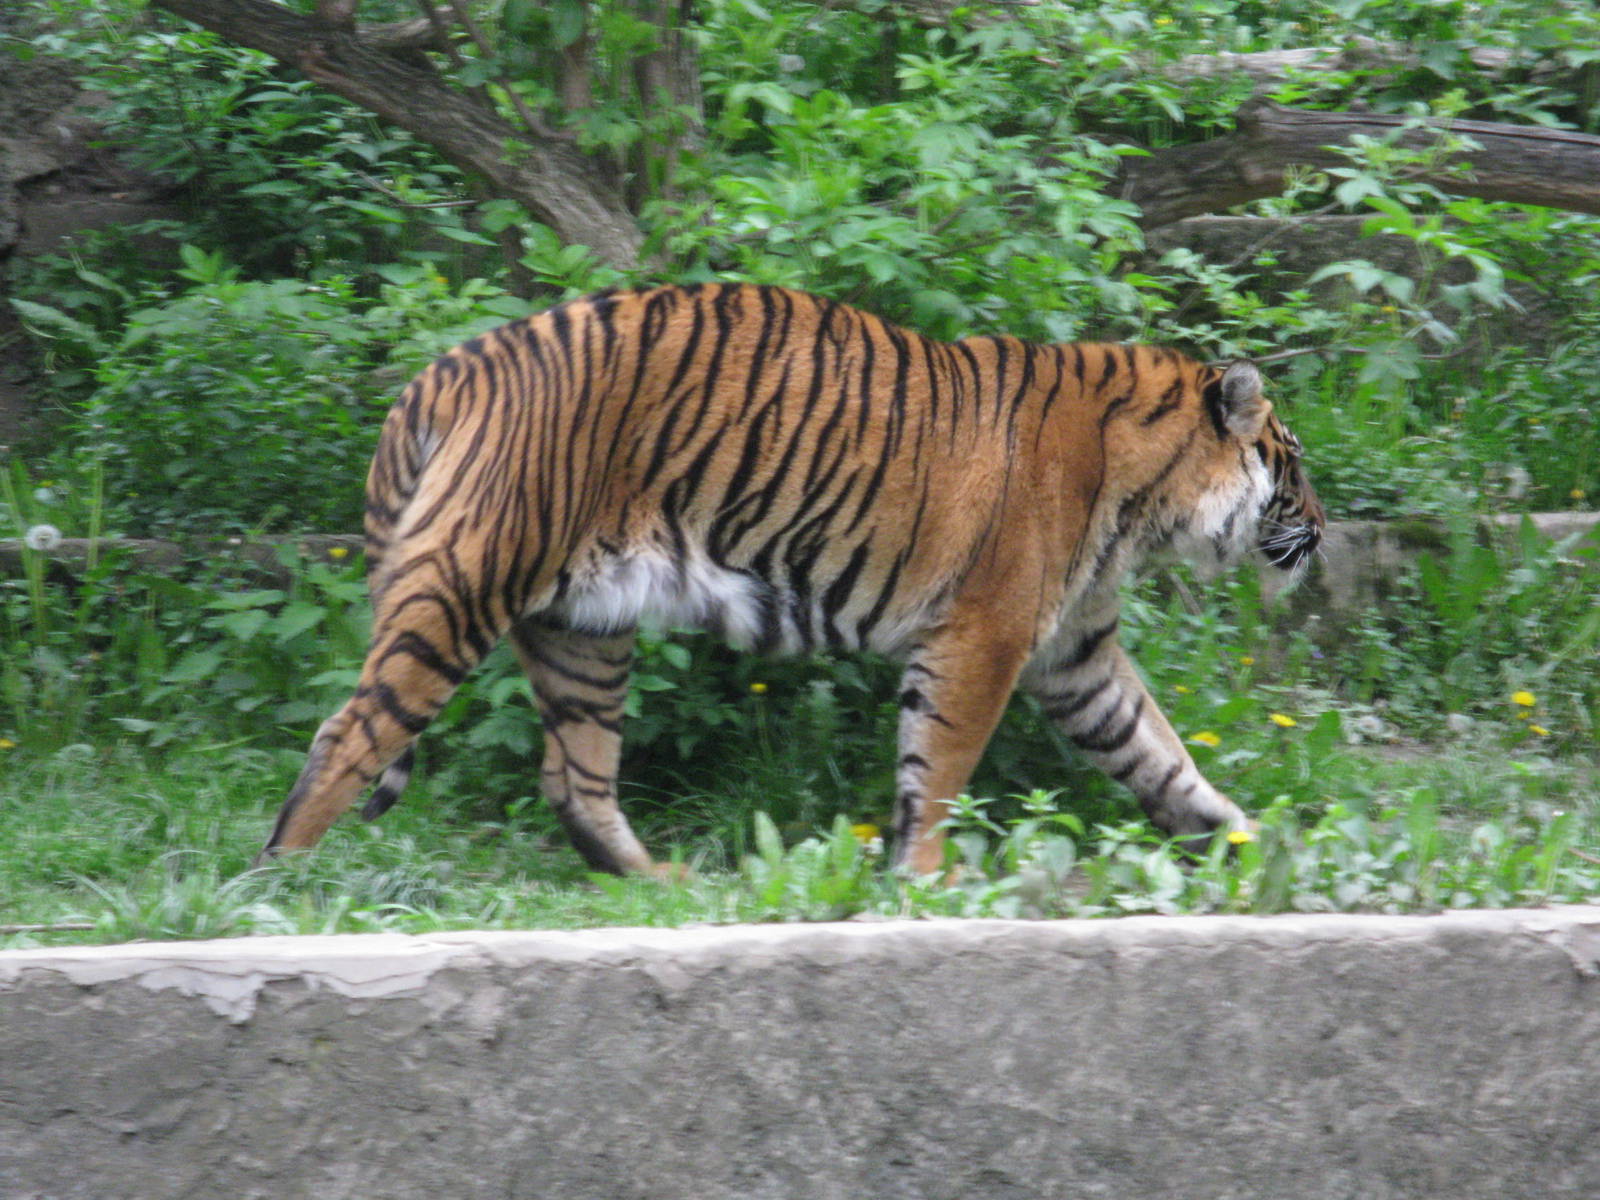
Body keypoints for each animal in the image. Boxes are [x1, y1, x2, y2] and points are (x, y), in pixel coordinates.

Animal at [260, 283, 1324, 877]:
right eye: (1295, 461)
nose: (1319, 531)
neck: (1145, 498)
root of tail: (445, 371)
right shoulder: (986, 635)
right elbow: (940, 769)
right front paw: (926, 880)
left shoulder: (1075, 652)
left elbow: (1156, 751)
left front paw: (1245, 841)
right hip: (465, 580)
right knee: (349, 733)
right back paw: (283, 887)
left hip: (581, 630)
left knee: (574, 777)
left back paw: (669, 889)